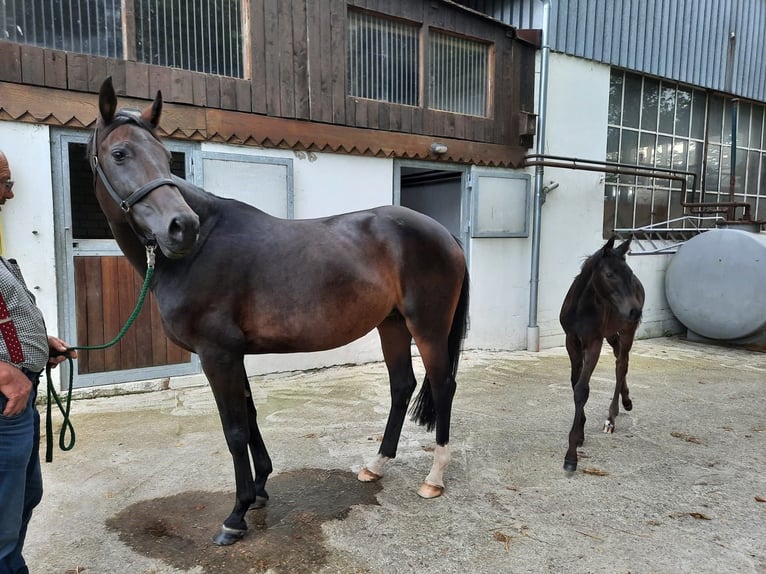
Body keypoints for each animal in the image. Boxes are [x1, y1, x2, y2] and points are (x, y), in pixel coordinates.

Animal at [560, 237, 644, 472]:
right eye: (609, 274)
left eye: (629, 273)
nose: (635, 311)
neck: (582, 309)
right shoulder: (571, 341)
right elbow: (575, 384)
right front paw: (580, 433)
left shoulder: (593, 343)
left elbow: (582, 389)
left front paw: (571, 456)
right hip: (612, 333)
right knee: (619, 358)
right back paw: (627, 400)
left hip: (627, 331)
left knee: (622, 364)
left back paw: (611, 418)